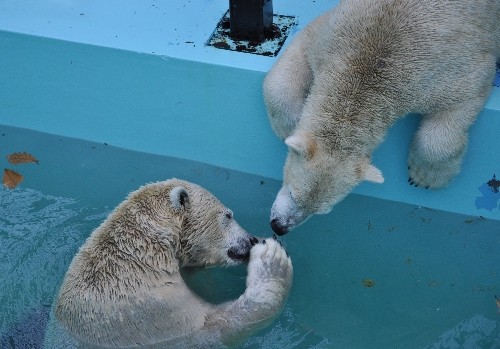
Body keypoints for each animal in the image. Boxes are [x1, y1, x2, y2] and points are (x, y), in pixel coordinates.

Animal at [262, 0, 500, 235]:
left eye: (321, 211)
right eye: (293, 194)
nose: (279, 227)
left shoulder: (441, 70)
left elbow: (468, 92)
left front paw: (425, 176)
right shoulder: (333, 37)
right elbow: (300, 51)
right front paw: (288, 128)